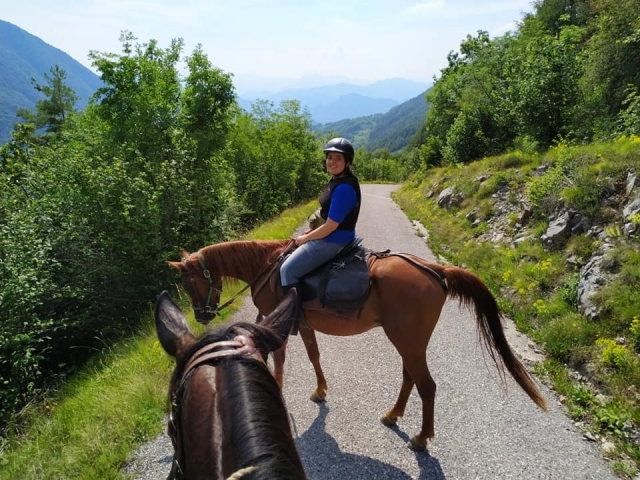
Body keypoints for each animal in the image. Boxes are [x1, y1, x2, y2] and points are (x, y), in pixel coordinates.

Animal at [168, 239, 548, 451]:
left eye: (189, 283)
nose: (201, 316)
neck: (267, 267)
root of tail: (435, 270)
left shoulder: (277, 325)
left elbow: (280, 359)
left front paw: (277, 388)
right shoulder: (302, 325)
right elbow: (313, 354)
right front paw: (320, 390)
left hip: (407, 340)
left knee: (426, 385)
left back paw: (421, 438)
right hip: (409, 341)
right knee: (410, 377)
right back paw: (393, 415)